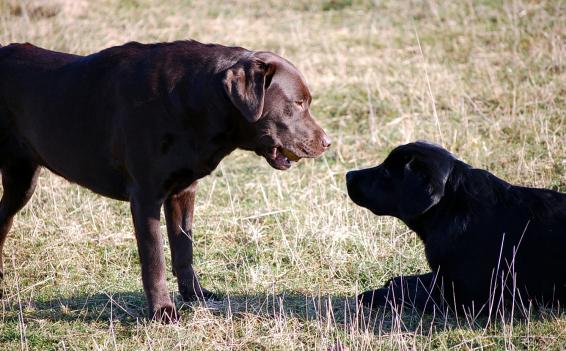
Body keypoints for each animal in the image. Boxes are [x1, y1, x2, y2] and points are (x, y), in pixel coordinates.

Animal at [0, 40, 332, 322]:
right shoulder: (145, 196)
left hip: (22, 180)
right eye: (298, 103)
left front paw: (194, 295)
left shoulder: (183, 191)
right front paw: (162, 311)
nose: (327, 143)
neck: (197, 100)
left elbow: (184, 250)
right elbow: (154, 258)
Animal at [348, 142, 566, 314]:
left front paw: (375, 294)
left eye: (386, 171)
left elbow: (415, 293)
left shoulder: (467, 298)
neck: (451, 208)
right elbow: (422, 280)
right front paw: (397, 281)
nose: (348, 175)